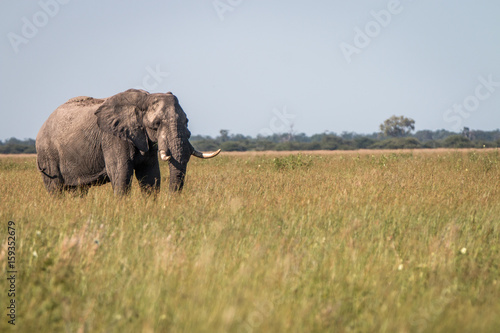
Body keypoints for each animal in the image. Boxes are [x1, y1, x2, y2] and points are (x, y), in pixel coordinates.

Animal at [36, 89, 220, 196]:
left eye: (186, 121)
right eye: (156, 124)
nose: (171, 200)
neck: (145, 98)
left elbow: (150, 175)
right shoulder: (113, 137)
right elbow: (121, 173)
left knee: (79, 190)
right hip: (47, 154)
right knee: (55, 188)